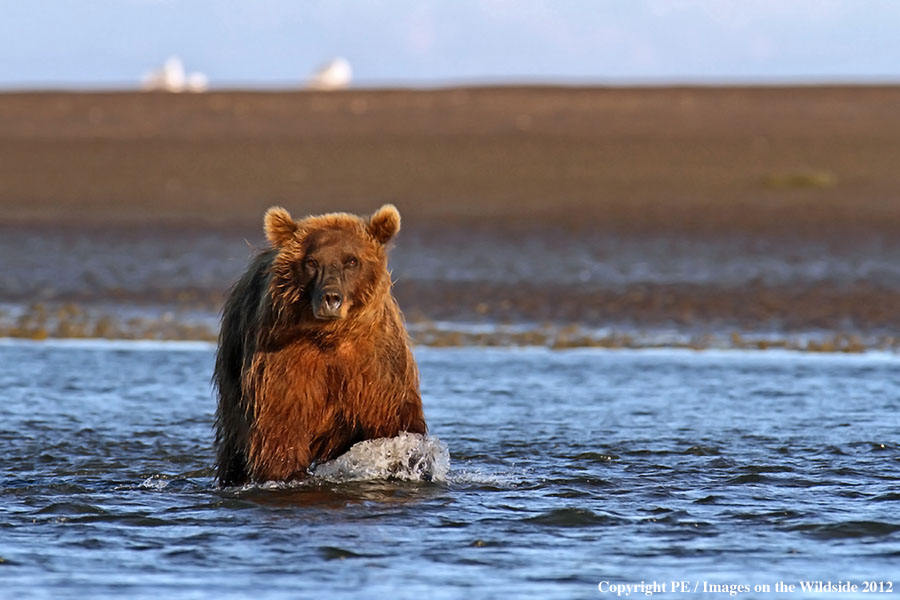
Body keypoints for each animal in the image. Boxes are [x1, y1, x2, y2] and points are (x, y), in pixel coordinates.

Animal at [212, 204, 426, 487]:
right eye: (312, 262)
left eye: (352, 260)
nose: (331, 298)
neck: (331, 337)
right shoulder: (286, 360)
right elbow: (281, 424)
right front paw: (287, 474)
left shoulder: (377, 366)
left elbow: (396, 422)